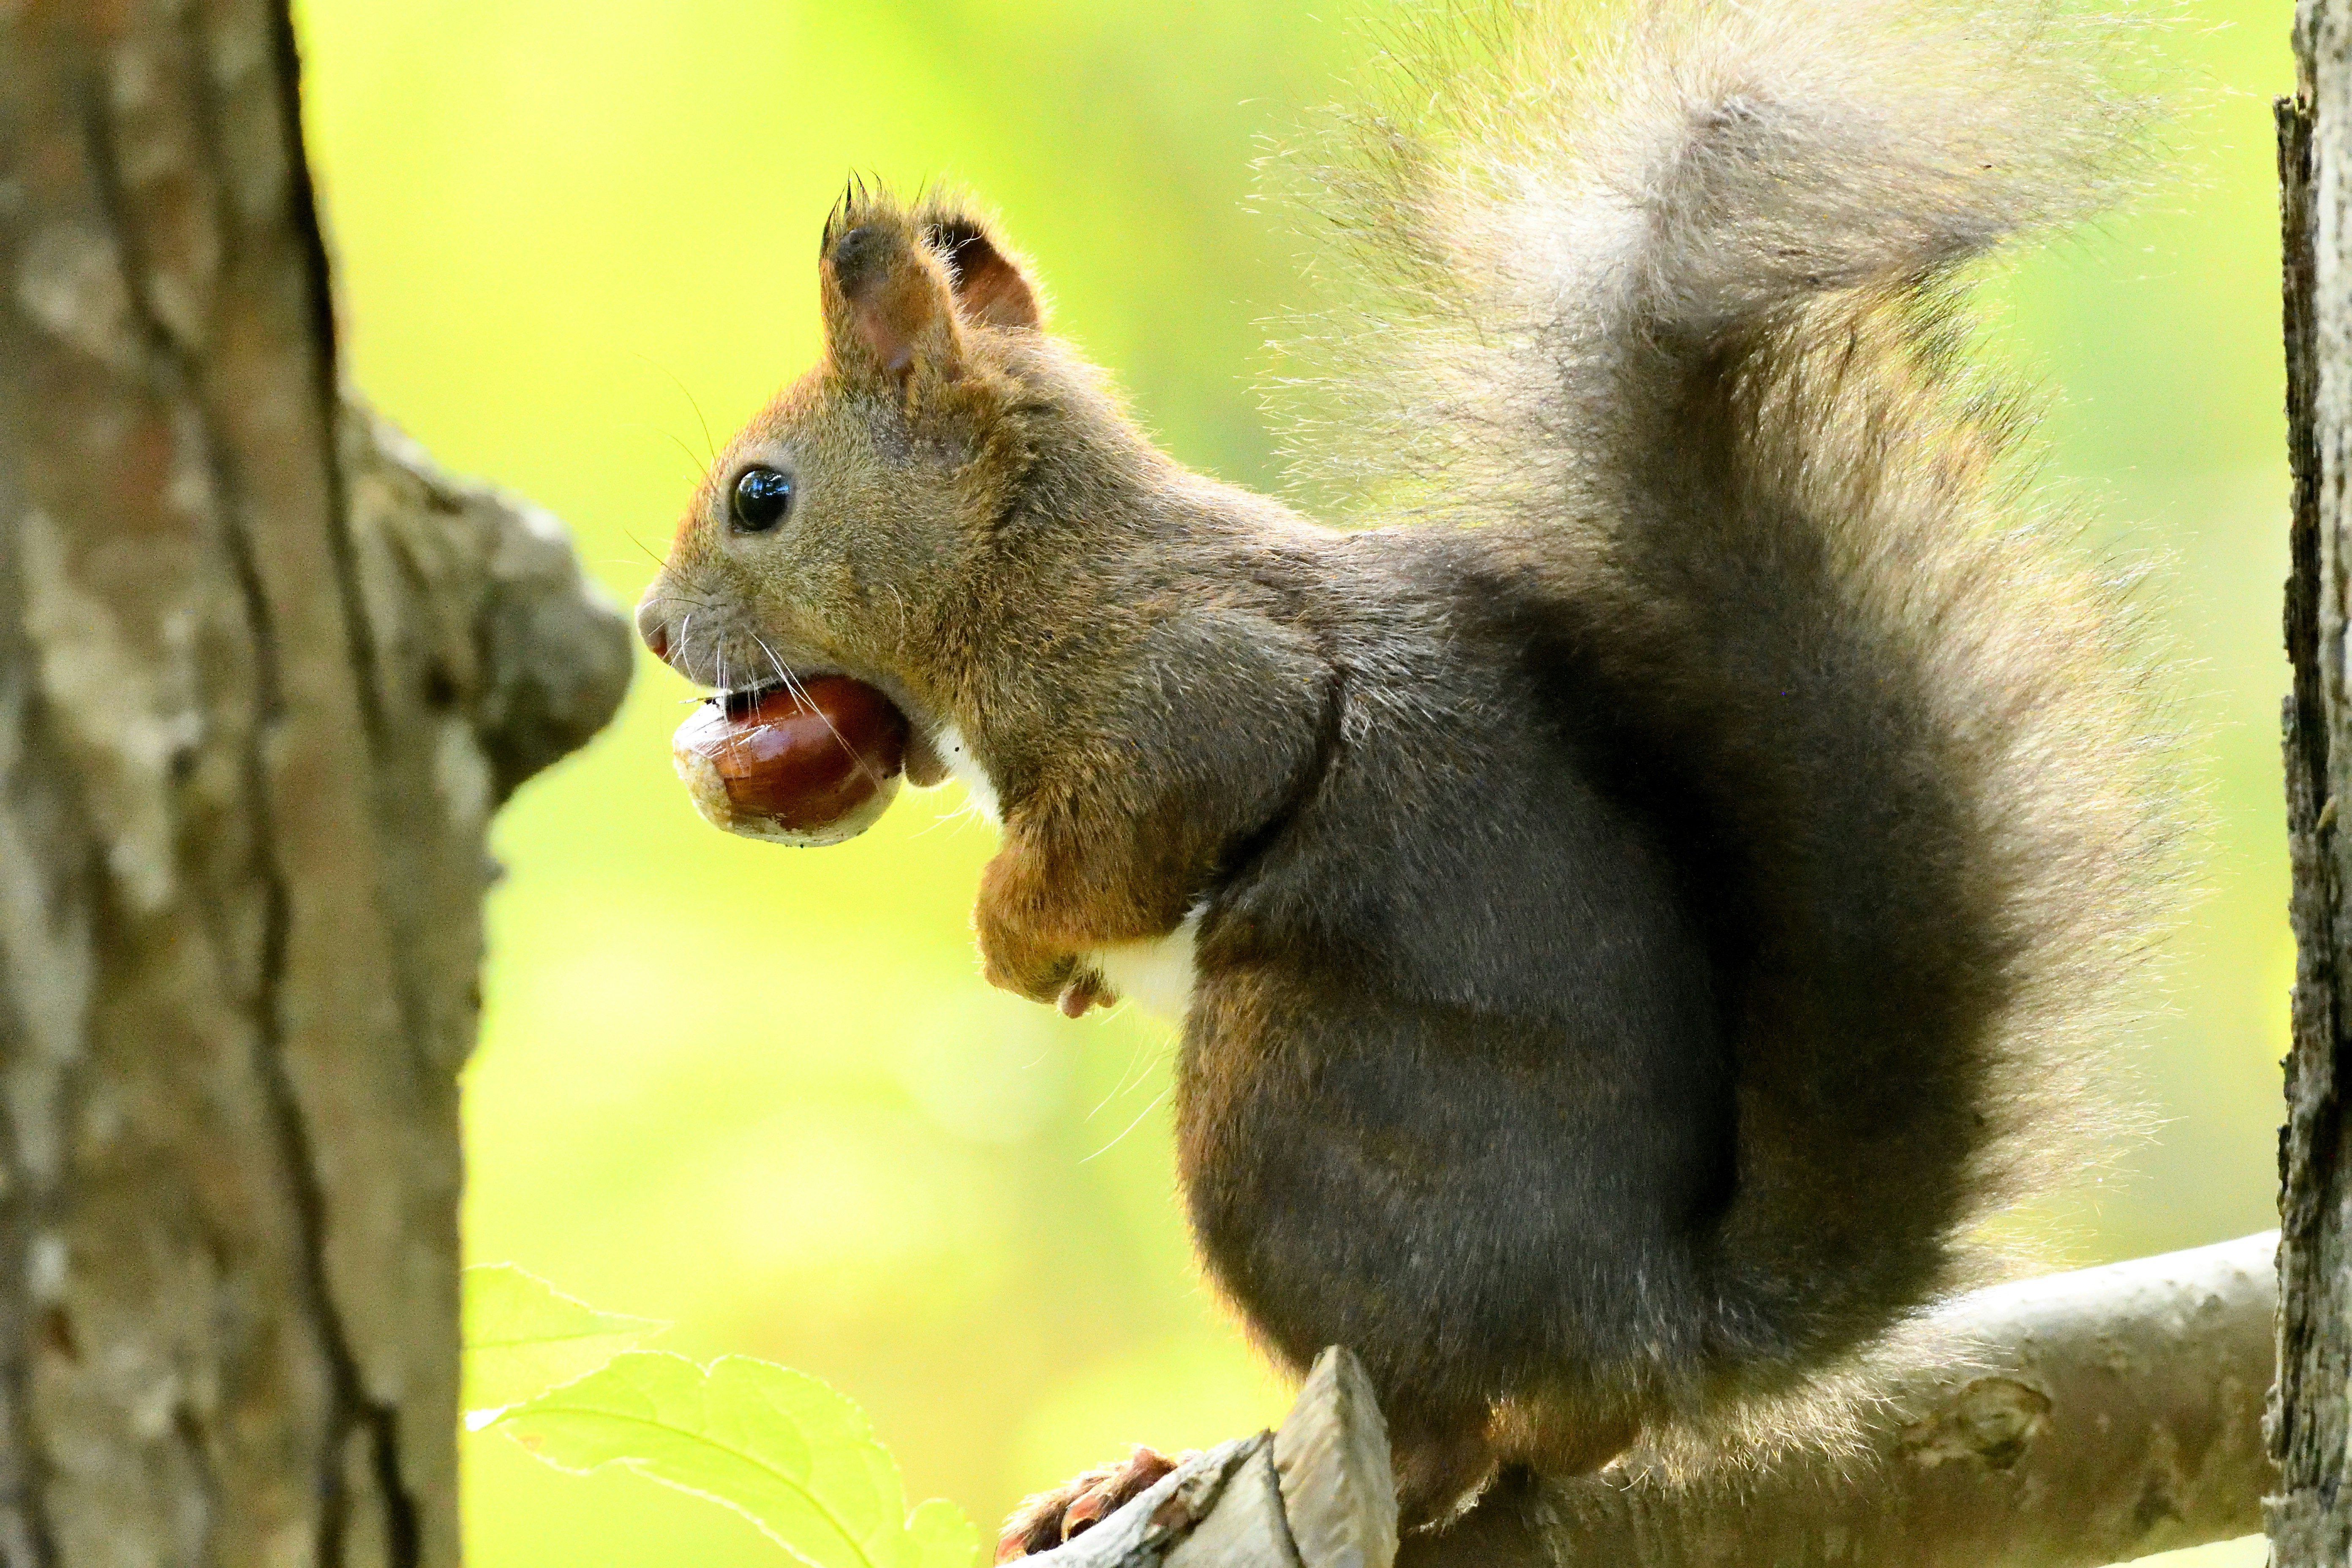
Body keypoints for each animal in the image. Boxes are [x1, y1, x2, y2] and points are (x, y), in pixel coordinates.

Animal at [630, 0, 2164, 1542]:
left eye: (761, 497)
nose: (649, 628)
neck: (1026, 553)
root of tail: (1647, 1323)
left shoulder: (1176, 682)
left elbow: (1150, 810)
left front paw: (1011, 937)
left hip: (1275, 1113)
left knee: (1436, 1426)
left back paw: (1188, 1466)